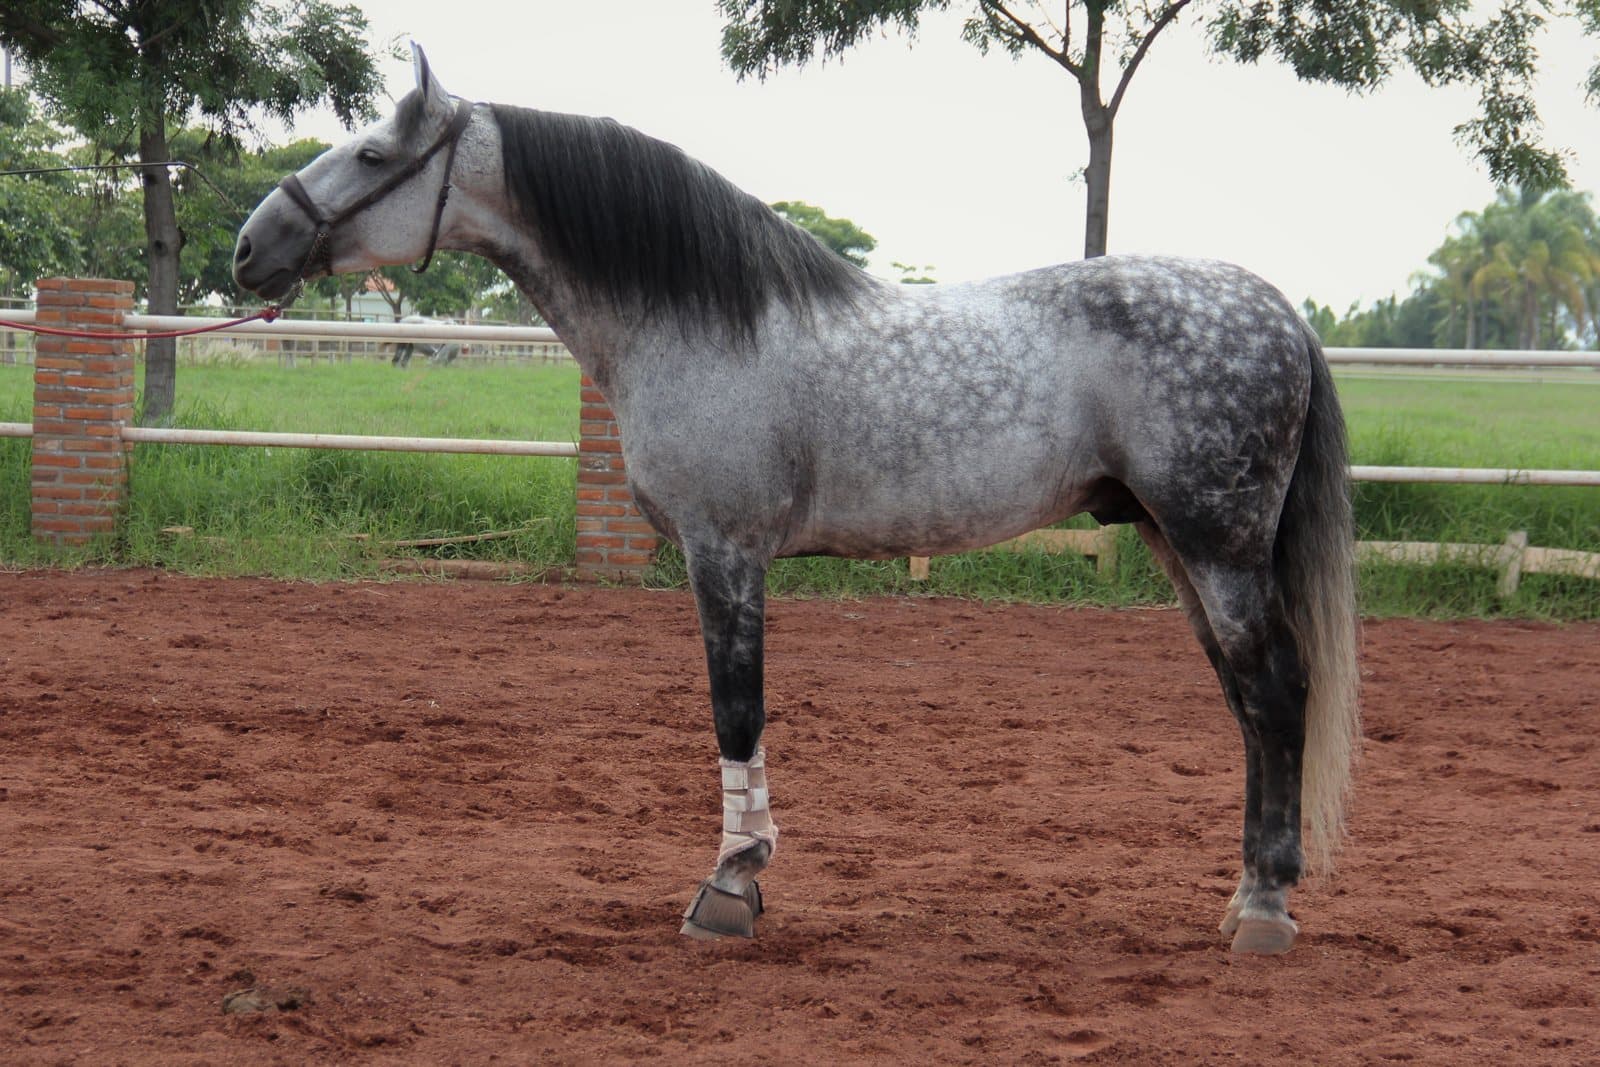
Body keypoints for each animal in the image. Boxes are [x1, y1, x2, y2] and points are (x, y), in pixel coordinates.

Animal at [233, 45, 1360, 955]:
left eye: (372, 154)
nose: (251, 247)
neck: (694, 319)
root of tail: (1279, 311)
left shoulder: (724, 550)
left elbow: (737, 707)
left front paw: (730, 886)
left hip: (1217, 546)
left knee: (1274, 692)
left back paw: (1264, 910)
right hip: (1179, 544)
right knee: (1249, 702)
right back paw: (1245, 893)